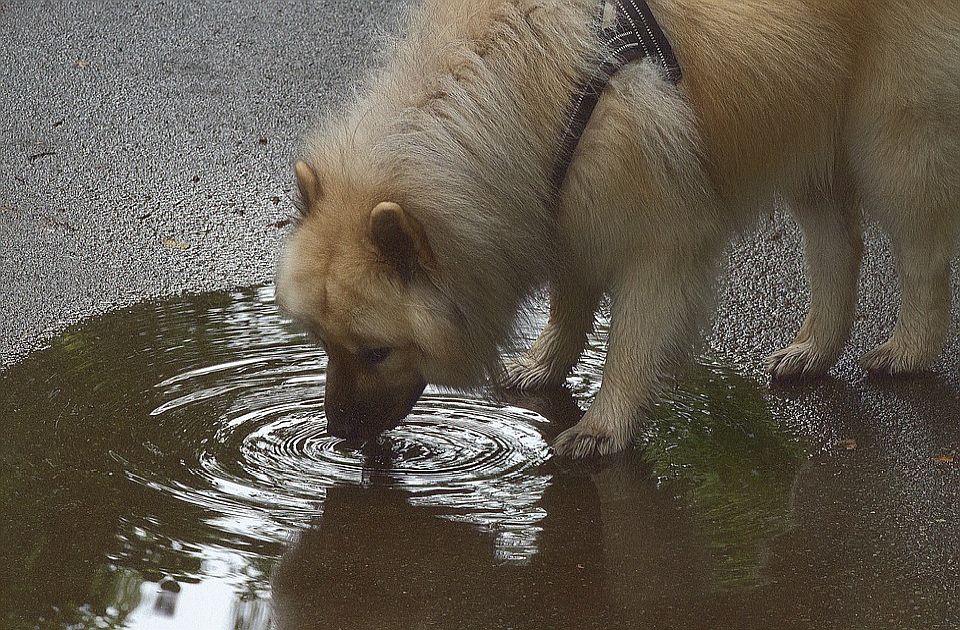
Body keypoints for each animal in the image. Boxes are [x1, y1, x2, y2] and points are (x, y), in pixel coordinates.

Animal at [274, 0, 956, 460]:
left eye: (377, 352)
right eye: (324, 344)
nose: (336, 433)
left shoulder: (658, 243)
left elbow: (631, 337)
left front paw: (604, 425)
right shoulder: (562, 208)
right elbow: (570, 304)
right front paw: (543, 367)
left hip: (892, 138)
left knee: (922, 252)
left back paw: (908, 349)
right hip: (810, 128)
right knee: (838, 246)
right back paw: (814, 348)